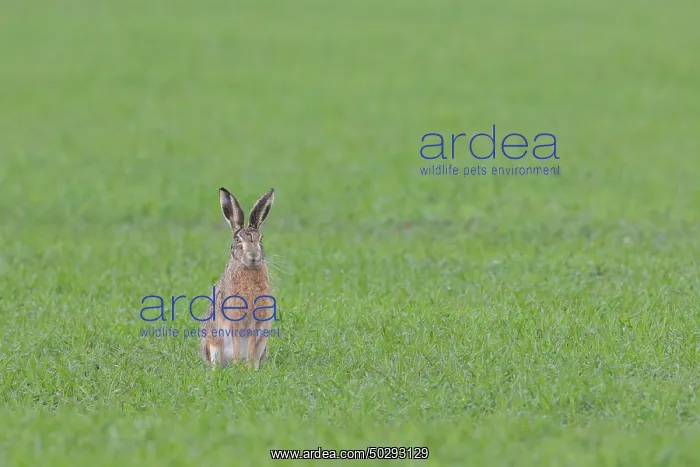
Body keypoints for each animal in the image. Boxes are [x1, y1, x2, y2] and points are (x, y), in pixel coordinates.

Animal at [199, 187, 276, 369]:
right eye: (237, 239)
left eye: (261, 239)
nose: (253, 255)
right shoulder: (233, 319)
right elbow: (235, 344)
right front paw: (238, 365)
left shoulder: (257, 322)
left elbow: (251, 347)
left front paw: (249, 369)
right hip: (212, 341)